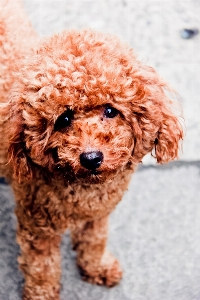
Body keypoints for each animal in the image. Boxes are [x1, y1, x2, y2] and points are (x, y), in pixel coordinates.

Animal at [0, 0, 184, 300]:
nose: (91, 157)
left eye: (110, 111)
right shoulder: (37, 226)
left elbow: (94, 240)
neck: (83, 189)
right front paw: (42, 293)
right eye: (63, 119)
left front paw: (97, 268)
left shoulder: (98, 215)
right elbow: (42, 266)